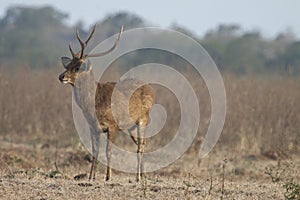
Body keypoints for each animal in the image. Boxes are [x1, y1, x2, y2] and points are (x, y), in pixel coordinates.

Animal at [58, 24, 154, 181]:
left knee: (141, 146)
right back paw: (143, 175)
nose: (61, 76)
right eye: (67, 65)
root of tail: (150, 88)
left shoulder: (112, 125)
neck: (93, 106)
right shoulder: (93, 127)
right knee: (143, 144)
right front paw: (91, 176)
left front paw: (108, 176)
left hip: (143, 119)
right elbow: (94, 151)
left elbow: (109, 151)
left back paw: (138, 177)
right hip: (131, 127)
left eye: (77, 67)